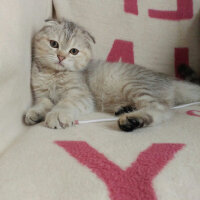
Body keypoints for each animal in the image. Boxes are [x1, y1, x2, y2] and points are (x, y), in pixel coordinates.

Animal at [25, 18, 200, 131]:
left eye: (73, 51)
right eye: (53, 44)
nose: (61, 57)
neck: (53, 74)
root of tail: (169, 79)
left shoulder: (80, 95)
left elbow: (65, 103)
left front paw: (58, 114)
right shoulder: (42, 95)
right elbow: (43, 104)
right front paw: (34, 114)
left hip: (133, 86)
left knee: (162, 110)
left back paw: (131, 120)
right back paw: (126, 111)